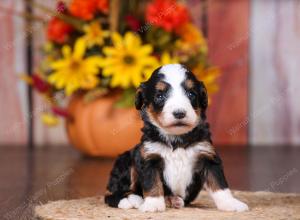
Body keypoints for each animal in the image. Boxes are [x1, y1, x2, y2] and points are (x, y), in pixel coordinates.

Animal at [103, 63, 248, 211]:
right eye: (160, 96)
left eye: (191, 94)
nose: (179, 113)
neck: (177, 138)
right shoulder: (149, 157)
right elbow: (152, 183)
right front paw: (153, 205)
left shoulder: (207, 155)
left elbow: (219, 184)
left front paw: (231, 203)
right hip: (126, 160)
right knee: (111, 194)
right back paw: (131, 200)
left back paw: (172, 200)